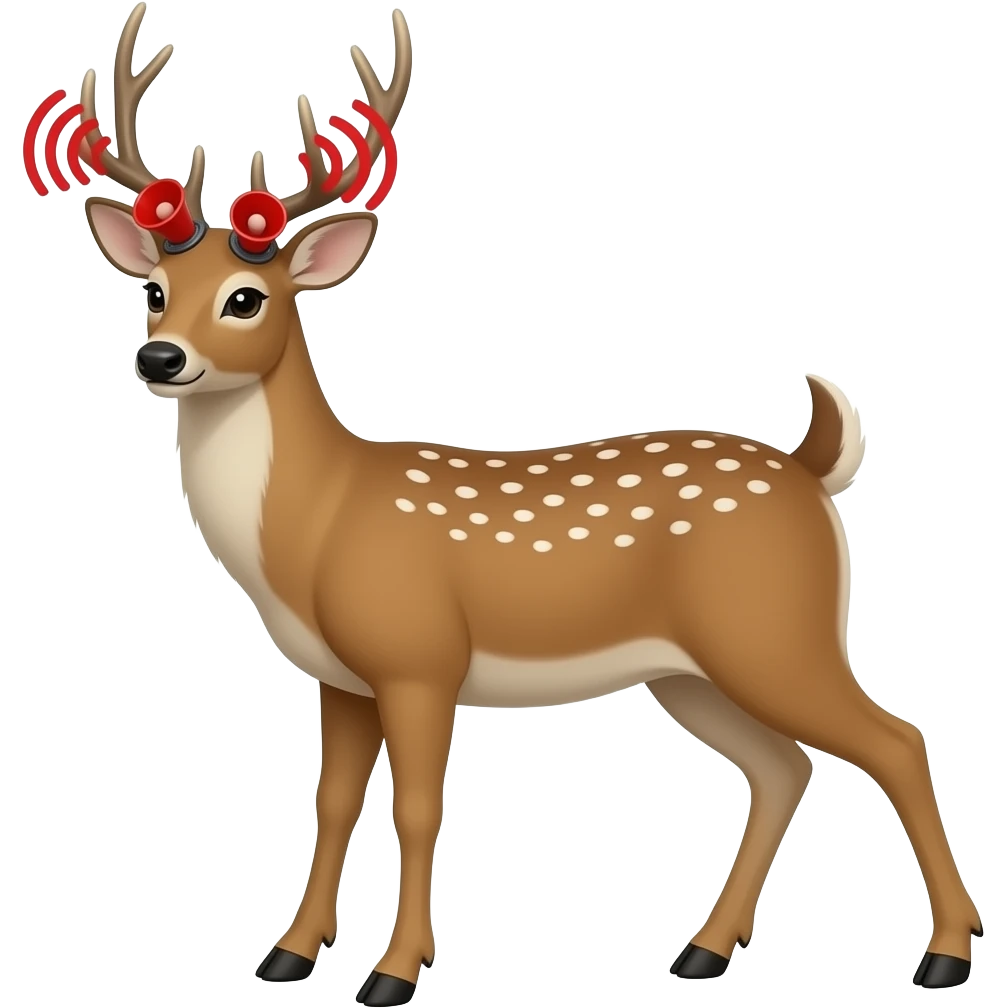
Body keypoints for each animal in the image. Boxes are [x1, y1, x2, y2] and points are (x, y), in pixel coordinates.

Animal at [64, 3, 981, 1000]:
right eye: (155, 291)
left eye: (244, 298)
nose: (159, 357)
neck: (316, 527)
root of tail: (813, 471)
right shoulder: (338, 677)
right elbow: (331, 803)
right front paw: (288, 956)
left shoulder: (420, 656)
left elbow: (419, 809)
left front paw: (394, 972)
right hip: (690, 670)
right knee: (784, 767)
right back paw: (703, 951)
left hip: (776, 630)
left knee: (896, 740)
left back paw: (945, 954)